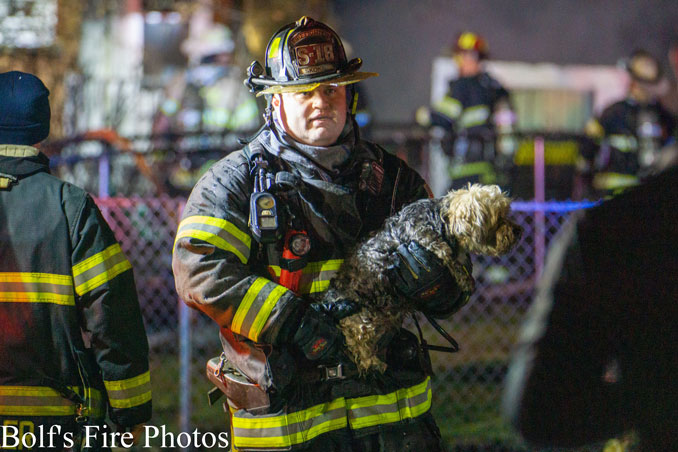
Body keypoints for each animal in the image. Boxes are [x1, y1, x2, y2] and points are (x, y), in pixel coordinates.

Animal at [322, 182, 524, 372]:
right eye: (499, 218)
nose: (518, 231)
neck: (442, 219)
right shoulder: (430, 244)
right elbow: (449, 259)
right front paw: (465, 280)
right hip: (361, 317)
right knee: (355, 336)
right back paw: (372, 361)